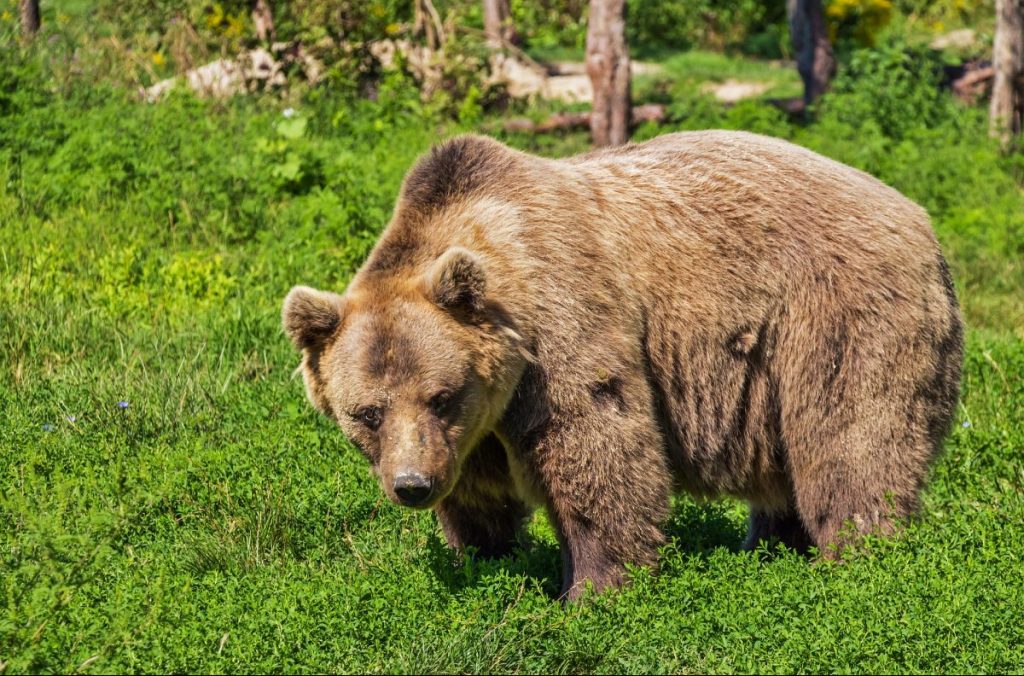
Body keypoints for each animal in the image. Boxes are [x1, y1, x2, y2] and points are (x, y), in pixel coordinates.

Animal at [282, 131, 963, 599]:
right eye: (367, 412)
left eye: (440, 394)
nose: (412, 486)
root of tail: (921, 219)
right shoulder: (472, 430)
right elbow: (479, 495)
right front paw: (485, 558)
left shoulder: (560, 329)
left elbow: (598, 447)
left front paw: (592, 589)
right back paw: (771, 547)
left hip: (836, 316)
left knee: (851, 441)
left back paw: (858, 557)